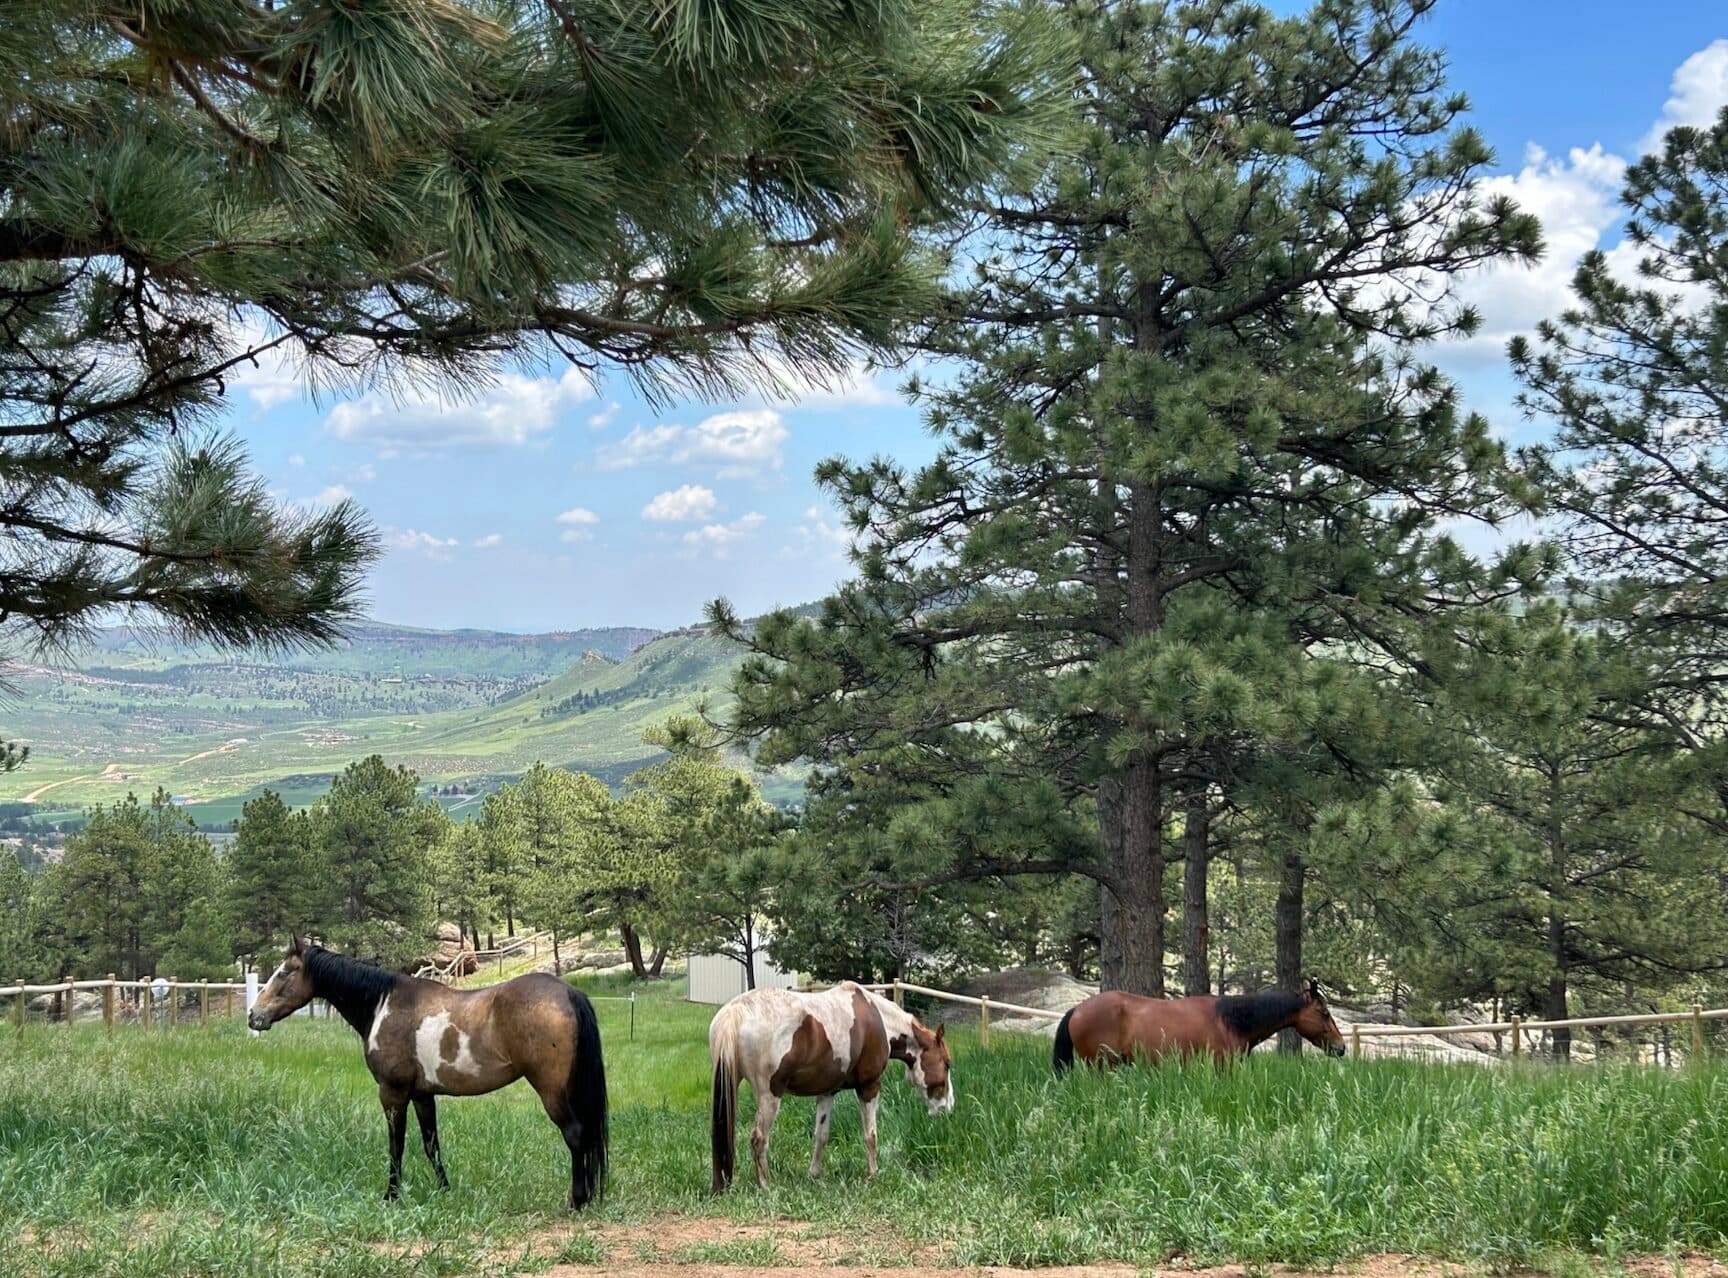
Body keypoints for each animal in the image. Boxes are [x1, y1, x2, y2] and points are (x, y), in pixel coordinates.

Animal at [248, 935, 607, 1209]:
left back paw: (577, 1200)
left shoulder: (392, 1094)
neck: (383, 1004)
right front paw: (444, 1189)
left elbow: (396, 1146)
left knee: (575, 1134)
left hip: (552, 1091)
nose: (254, 1016)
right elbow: (430, 1144)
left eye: (284, 972)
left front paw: (391, 1195)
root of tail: (567, 992)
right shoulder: (422, 1095)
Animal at [708, 981, 954, 1192]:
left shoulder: (827, 1092)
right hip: (770, 1095)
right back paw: (766, 1185)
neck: (877, 1020)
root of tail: (736, 1011)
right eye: (947, 1063)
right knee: (759, 1139)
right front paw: (873, 1174)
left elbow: (821, 1135)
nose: (948, 1107)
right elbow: (870, 1135)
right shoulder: (869, 1087)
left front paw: (814, 1175)